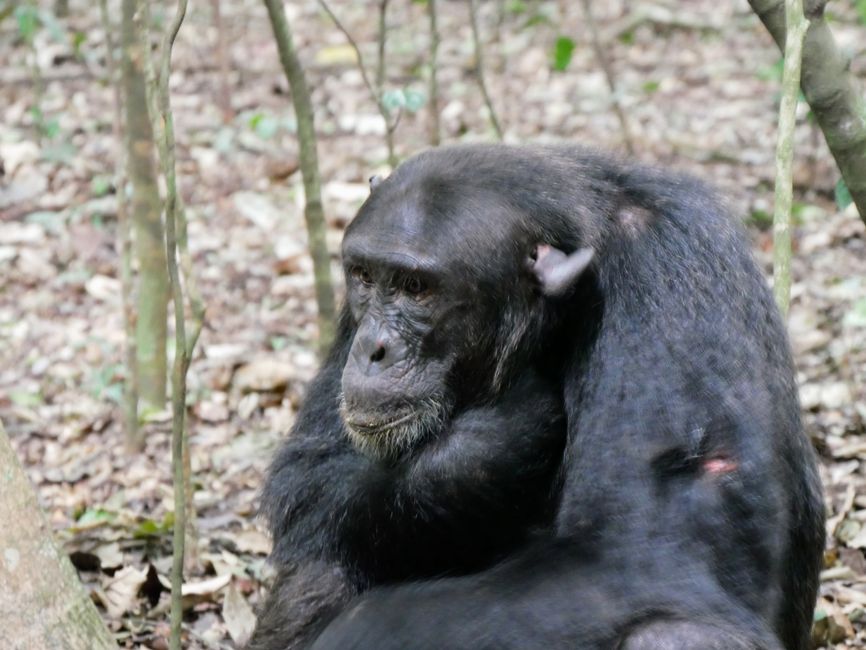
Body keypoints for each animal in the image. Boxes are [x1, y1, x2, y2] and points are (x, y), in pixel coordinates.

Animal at [245, 144, 824, 648]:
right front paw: (495, 440)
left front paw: (360, 633)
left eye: (416, 288)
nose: (373, 349)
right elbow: (310, 473)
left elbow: (634, 553)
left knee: (673, 634)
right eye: (366, 276)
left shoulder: (673, 275)